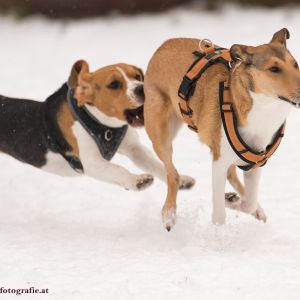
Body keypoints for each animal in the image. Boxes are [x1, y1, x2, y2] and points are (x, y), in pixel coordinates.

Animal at [144, 28, 300, 230]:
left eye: (295, 64)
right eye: (274, 69)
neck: (264, 109)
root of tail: (163, 45)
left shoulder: (255, 163)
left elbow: (249, 202)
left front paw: (233, 200)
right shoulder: (218, 162)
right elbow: (219, 214)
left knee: (234, 177)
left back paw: (252, 206)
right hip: (160, 136)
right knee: (173, 175)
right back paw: (169, 214)